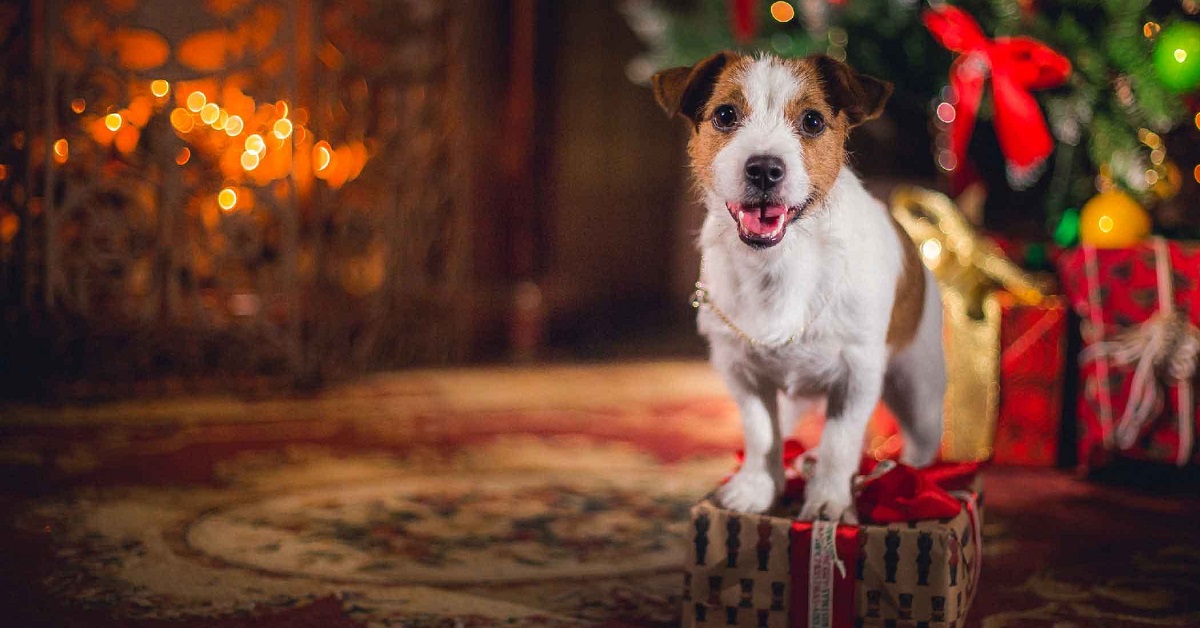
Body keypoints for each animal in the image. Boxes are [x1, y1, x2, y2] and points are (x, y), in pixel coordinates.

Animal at [652, 51, 940, 523]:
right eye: (725, 115)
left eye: (812, 121)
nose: (765, 169)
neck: (779, 264)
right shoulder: (741, 372)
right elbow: (760, 433)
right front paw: (756, 488)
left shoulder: (857, 375)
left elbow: (839, 443)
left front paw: (829, 501)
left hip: (918, 390)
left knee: (921, 442)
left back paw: (916, 481)